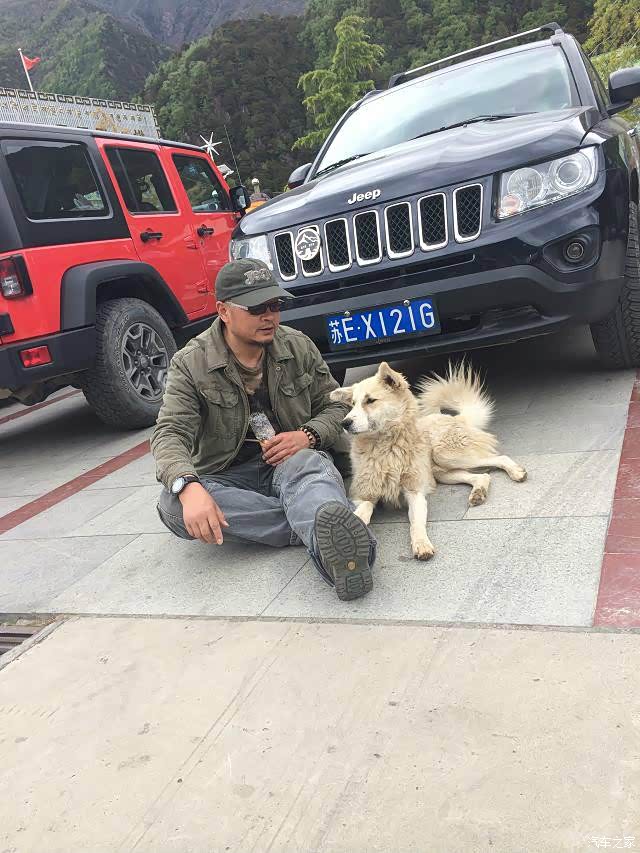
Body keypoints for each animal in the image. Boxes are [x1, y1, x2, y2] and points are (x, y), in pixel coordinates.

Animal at [330, 361, 527, 561]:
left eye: (370, 400)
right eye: (352, 404)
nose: (344, 423)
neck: (385, 447)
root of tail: (452, 417)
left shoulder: (415, 492)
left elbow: (416, 523)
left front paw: (421, 544)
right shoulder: (363, 493)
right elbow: (364, 509)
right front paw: (351, 527)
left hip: (446, 454)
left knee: (499, 458)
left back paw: (516, 472)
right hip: (441, 472)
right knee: (482, 476)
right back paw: (478, 493)